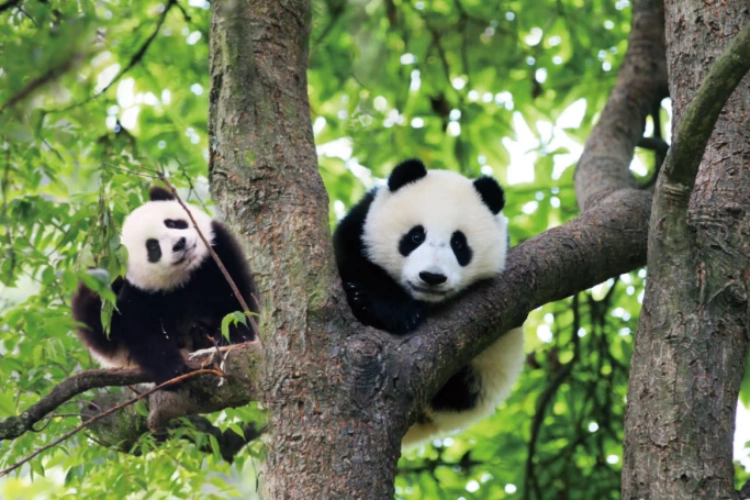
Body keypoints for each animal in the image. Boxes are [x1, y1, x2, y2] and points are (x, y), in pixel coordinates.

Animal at [71, 186, 259, 389]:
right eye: (153, 246)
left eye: (172, 223)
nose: (179, 243)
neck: (185, 274)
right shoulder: (138, 291)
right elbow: (141, 330)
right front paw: (171, 371)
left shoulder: (217, 253)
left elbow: (235, 296)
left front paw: (232, 336)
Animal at [333, 158, 524, 446]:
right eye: (415, 237)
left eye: (459, 243)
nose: (432, 277)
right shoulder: (360, 225)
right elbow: (350, 258)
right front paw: (382, 305)